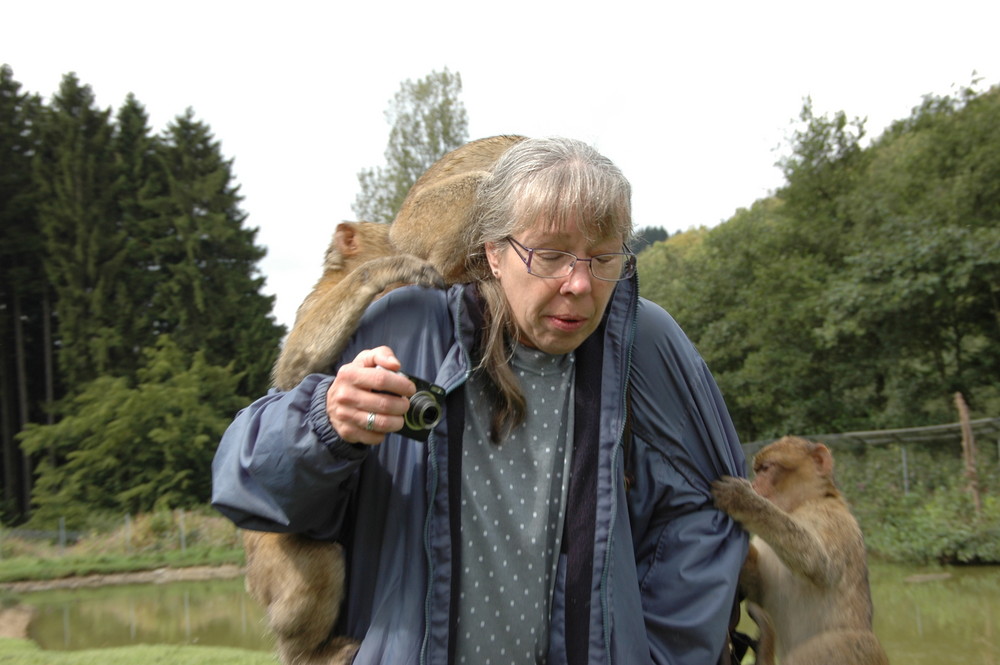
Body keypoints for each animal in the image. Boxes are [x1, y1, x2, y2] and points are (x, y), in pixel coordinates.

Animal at [712, 436, 892, 664]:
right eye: (757, 470)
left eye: (766, 469)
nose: (754, 484)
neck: (801, 505)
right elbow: (759, 587)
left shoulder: (834, 519)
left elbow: (820, 563)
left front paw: (744, 500)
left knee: (856, 641)